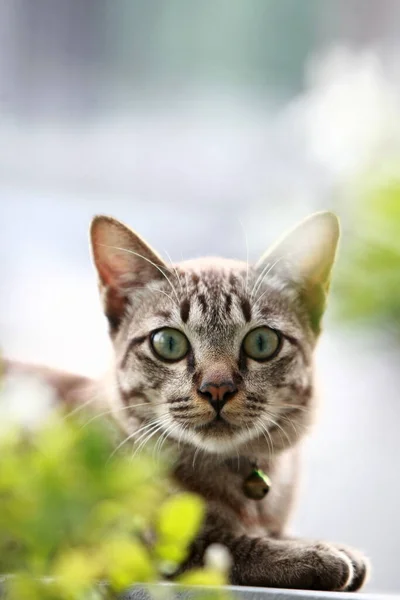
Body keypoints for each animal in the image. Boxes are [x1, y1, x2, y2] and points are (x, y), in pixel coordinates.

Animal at [5, 211, 368, 592]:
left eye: (262, 342)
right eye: (168, 343)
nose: (217, 388)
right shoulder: (131, 545)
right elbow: (225, 546)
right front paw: (311, 554)